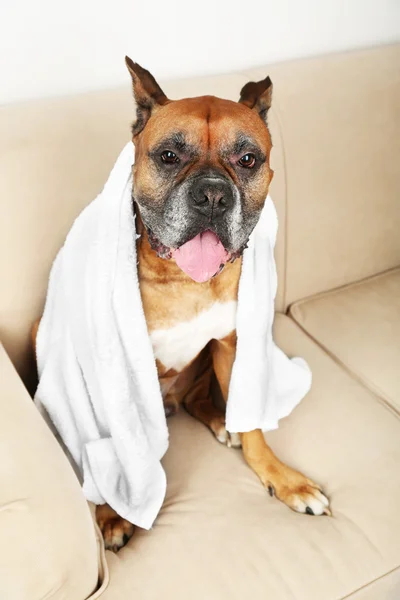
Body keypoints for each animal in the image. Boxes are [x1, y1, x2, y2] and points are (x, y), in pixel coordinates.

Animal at [34, 57, 330, 552]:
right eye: (169, 155)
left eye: (248, 159)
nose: (212, 195)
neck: (183, 280)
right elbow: (112, 446)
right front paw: (113, 513)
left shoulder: (231, 345)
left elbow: (253, 426)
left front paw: (282, 478)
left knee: (197, 400)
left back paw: (221, 423)